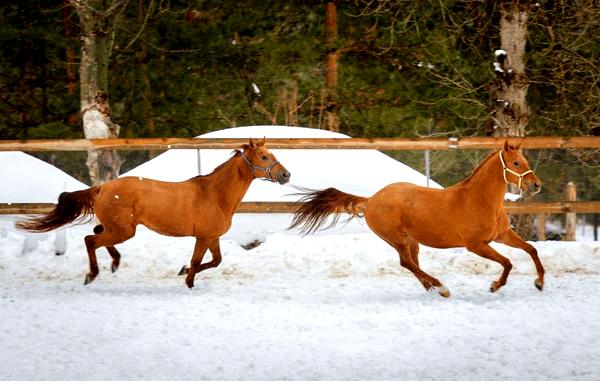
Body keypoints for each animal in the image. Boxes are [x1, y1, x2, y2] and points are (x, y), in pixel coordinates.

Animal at [17, 138, 290, 286]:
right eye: (264, 157)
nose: (286, 175)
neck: (215, 193)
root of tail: (102, 187)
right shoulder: (203, 237)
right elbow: (197, 261)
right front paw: (188, 281)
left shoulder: (213, 237)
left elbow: (215, 261)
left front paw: (183, 272)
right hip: (123, 230)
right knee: (90, 239)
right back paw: (93, 274)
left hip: (119, 227)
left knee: (95, 234)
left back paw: (114, 264)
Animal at [290, 141, 544, 296]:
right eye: (515, 163)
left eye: (526, 161)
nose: (536, 185)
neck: (479, 200)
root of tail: (371, 200)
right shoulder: (476, 245)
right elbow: (507, 262)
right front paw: (494, 286)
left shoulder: (502, 235)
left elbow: (531, 250)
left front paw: (540, 283)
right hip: (396, 238)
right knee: (406, 263)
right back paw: (441, 288)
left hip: (411, 240)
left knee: (412, 263)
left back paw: (432, 287)